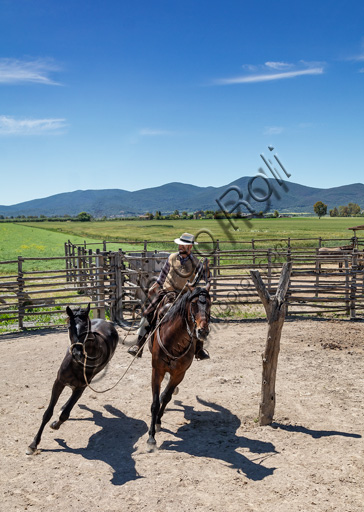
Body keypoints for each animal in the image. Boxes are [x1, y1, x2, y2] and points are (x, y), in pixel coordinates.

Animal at [27, 302, 118, 454]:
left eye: (86, 327)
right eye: (69, 327)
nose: (77, 353)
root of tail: (107, 323)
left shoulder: (81, 387)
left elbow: (65, 414)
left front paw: (56, 425)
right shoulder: (58, 382)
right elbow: (47, 413)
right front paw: (33, 444)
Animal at [147, 282, 210, 446]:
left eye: (210, 303)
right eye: (193, 304)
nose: (203, 331)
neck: (174, 341)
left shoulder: (179, 374)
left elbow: (165, 397)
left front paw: (158, 422)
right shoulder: (157, 371)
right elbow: (155, 403)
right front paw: (151, 437)